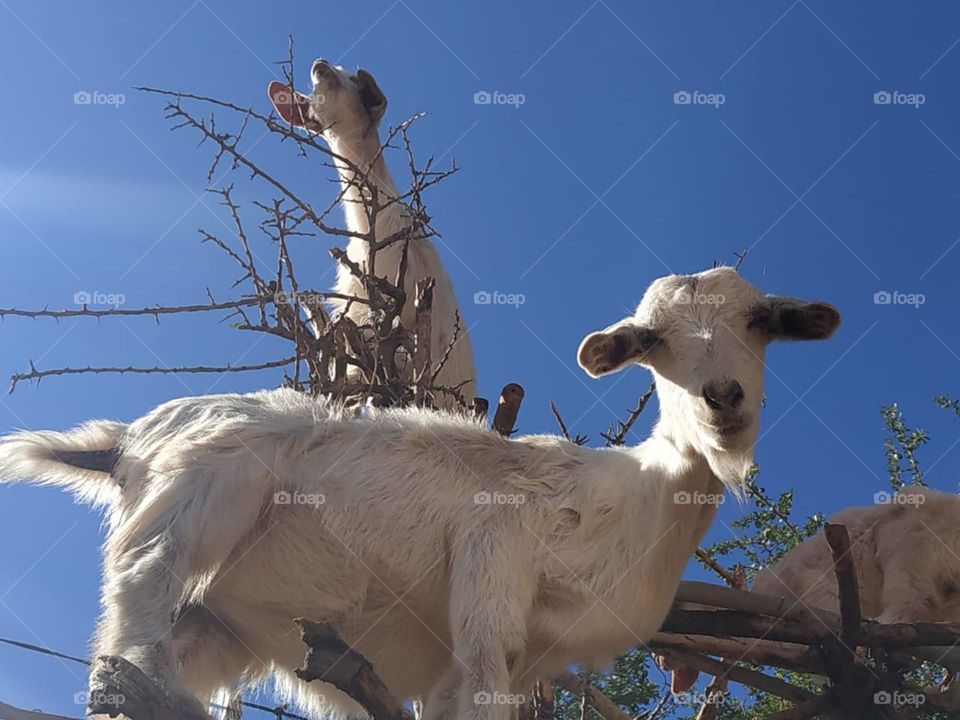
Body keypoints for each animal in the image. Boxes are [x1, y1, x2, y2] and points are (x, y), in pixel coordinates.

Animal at [0, 266, 840, 720]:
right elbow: (482, 672)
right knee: (142, 584)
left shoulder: (505, 660)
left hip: (219, 621)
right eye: (652, 340)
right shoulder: (493, 564)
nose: (723, 399)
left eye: (762, 322)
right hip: (205, 486)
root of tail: (125, 440)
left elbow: (456, 701)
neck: (638, 495)